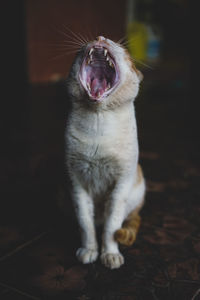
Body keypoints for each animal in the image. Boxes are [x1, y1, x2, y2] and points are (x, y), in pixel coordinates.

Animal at [65, 35, 145, 270]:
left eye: (125, 53)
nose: (101, 37)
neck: (98, 121)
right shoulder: (77, 183)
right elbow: (85, 224)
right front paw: (90, 251)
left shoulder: (121, 184)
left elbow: (112, 226)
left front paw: (109, 255)